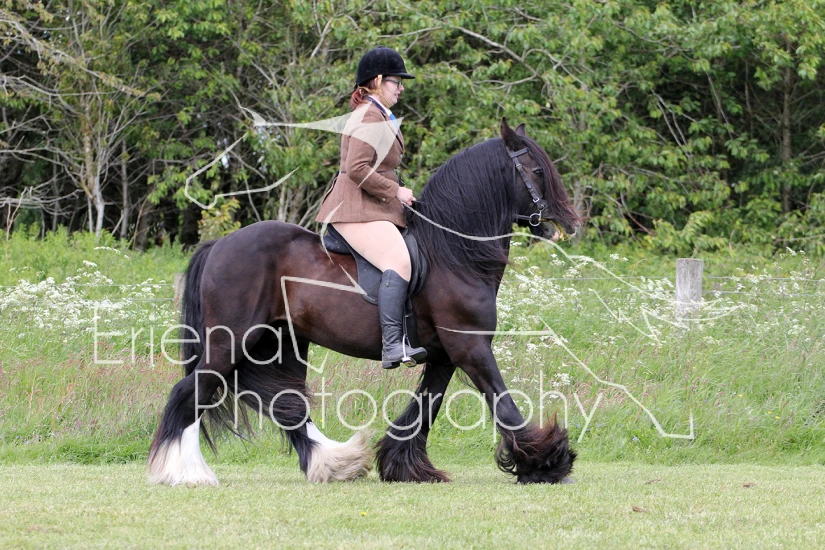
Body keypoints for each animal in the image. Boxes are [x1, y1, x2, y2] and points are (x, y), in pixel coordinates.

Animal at [147, 117, 582, 485]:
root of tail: (220, 244)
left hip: (281, 343)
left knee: (285, 405)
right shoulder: (470, 347)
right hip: (231, 341)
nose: (571, 223)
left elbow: (425, 408)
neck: (453, 253)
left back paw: (334, 463)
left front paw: (403, 466)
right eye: (537, 171)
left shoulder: (445, 354)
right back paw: (184, 472)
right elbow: (502, 402)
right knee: (191, 392)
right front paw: (545, 463)